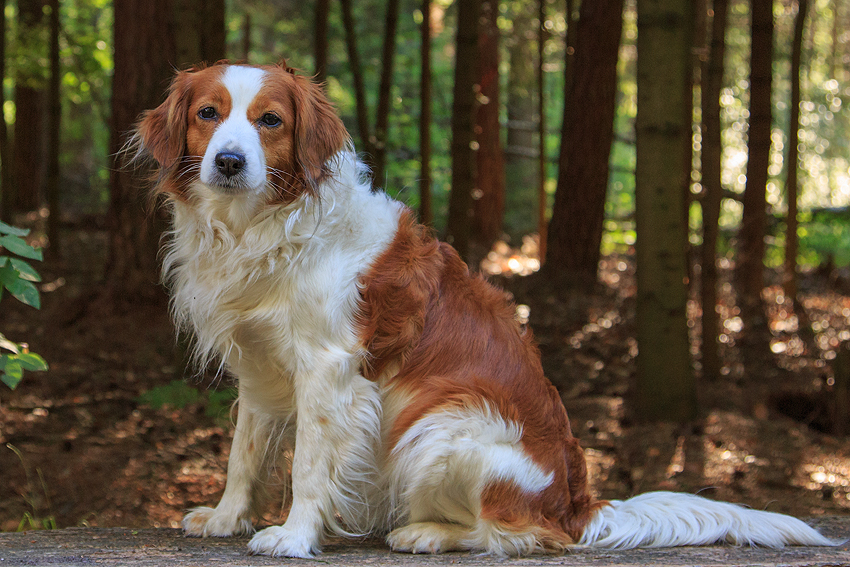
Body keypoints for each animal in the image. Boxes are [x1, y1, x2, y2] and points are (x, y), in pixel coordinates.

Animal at [134, 62, 836, 560]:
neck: (263, 230)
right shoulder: (258, 365)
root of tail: (578, 504)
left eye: (271, 121)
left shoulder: (328, 369)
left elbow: (308, 462)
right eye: (208, 114)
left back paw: (428, 533)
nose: (229, 161)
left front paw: (295, 535)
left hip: (436, 430)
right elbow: (244, 453)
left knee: (517, 536)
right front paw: (227, 517)